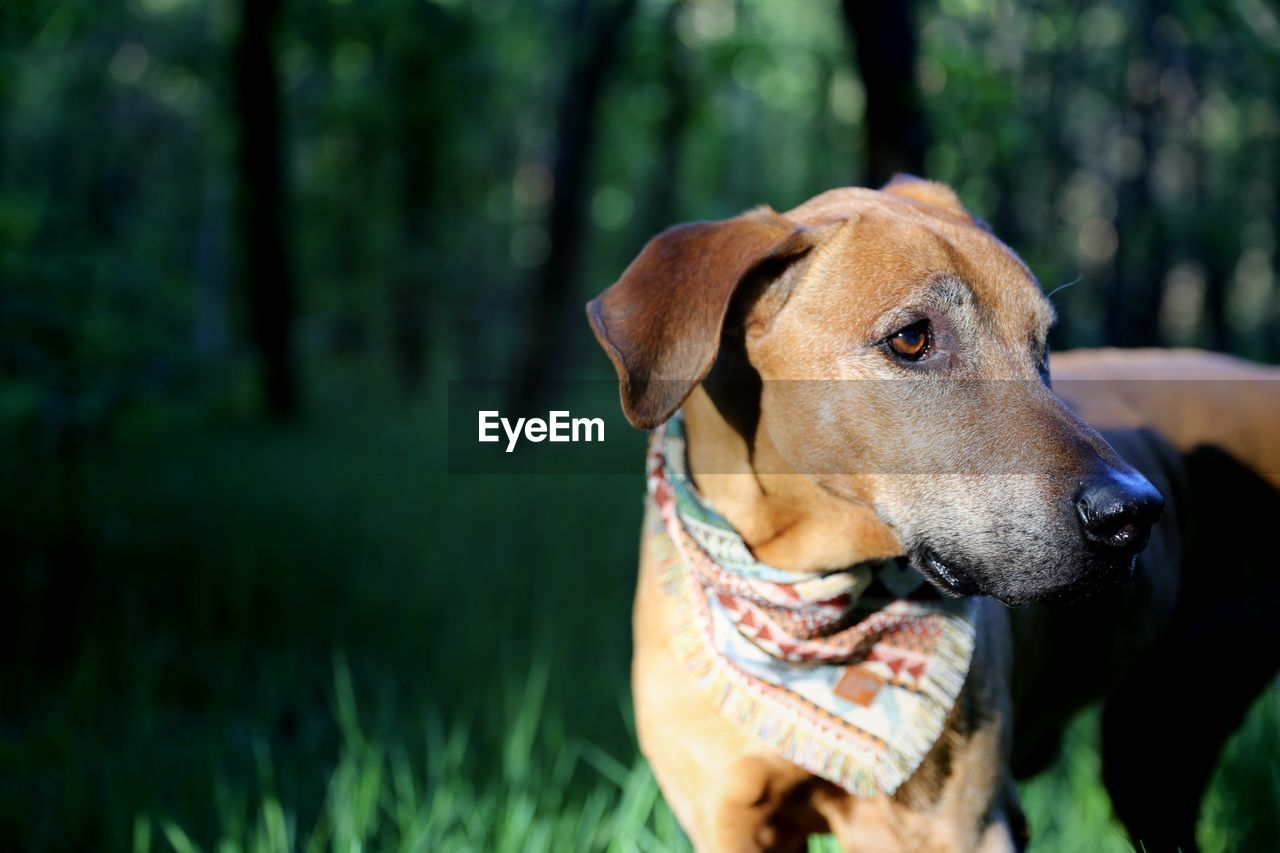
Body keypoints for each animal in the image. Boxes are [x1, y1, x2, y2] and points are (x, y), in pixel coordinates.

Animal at [586, 175, 1280, 845]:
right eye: (912, 338)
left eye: (1043, 346)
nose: (1133, 514)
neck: (806, 601)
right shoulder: (728, 821)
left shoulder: (962, 828)